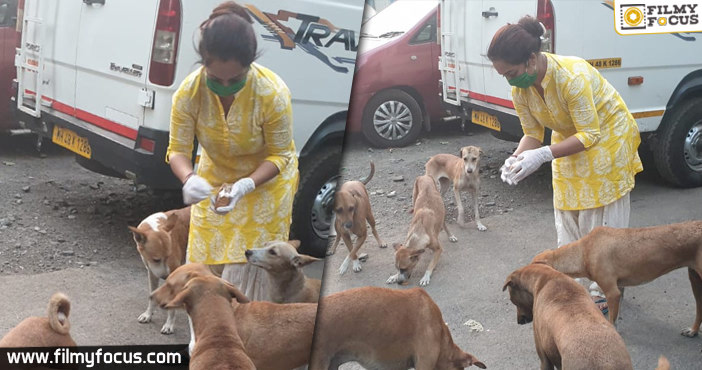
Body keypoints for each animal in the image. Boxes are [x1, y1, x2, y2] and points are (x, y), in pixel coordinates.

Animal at [128, 205, 191, 336]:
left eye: (168, 256)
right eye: (156, 260)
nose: (166, 276)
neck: (154, 226)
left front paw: (169, 325)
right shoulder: (152, 272)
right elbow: (151, 295)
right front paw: (148, 314)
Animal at [532, 220, 702, 332]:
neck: (585, 251)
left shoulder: (612, 292)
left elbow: (611, 321)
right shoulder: (620, 288)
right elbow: (616, 318)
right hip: (694, 278)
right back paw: (693, 331)